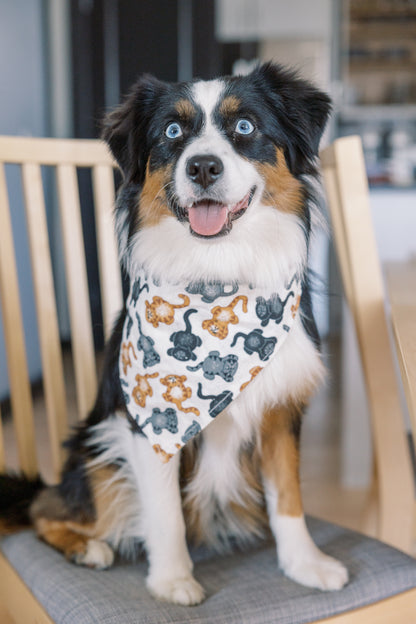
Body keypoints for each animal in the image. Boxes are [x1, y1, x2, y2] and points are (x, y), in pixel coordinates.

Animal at [0, 62, 348, 604]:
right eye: (171, 132)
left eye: (245, 126)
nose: (202, 167)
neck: (218, 275)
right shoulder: (146, 424)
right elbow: (164, 513)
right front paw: (172, 581)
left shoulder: (279, 409)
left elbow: (289, 496)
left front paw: (304, 564)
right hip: (95, 452)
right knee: (44, 508)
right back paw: (86, 548)